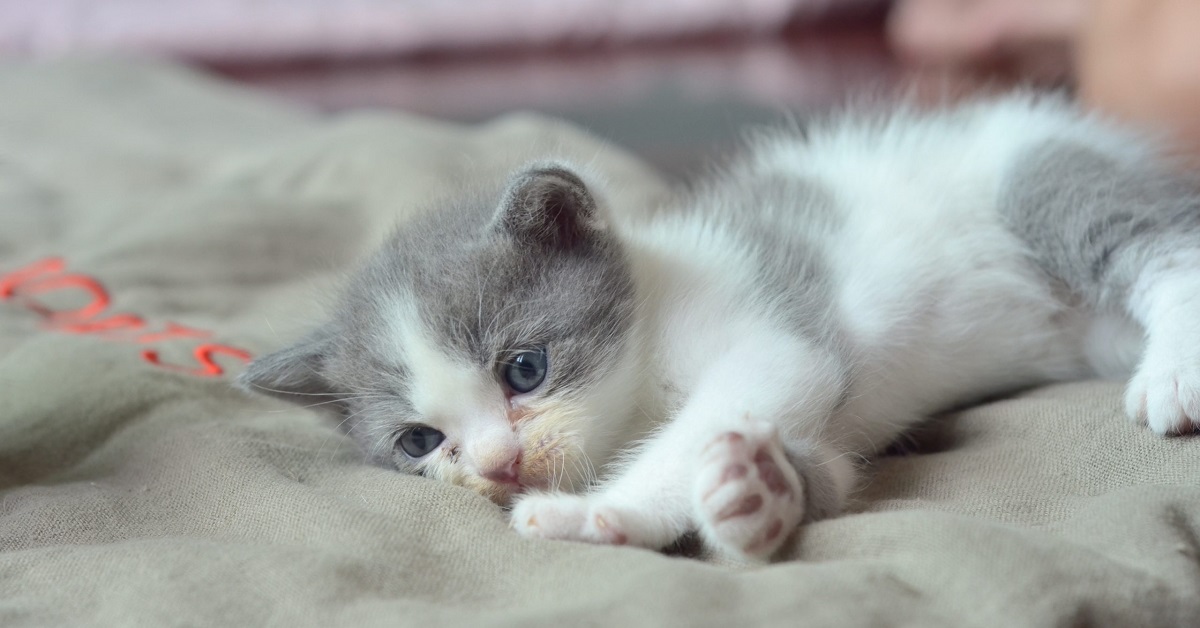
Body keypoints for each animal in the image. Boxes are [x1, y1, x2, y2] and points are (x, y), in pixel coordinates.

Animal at [238, 94, 1200, 564]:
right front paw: (758, 494)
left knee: (1166, 246)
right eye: (419, 441)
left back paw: (1173, 374)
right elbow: (823, 469)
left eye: (524, 370)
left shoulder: (768, 337)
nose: (499, 464)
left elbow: (716, 413)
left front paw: (601, 513)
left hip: (1038, 177)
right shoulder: (824, 425)